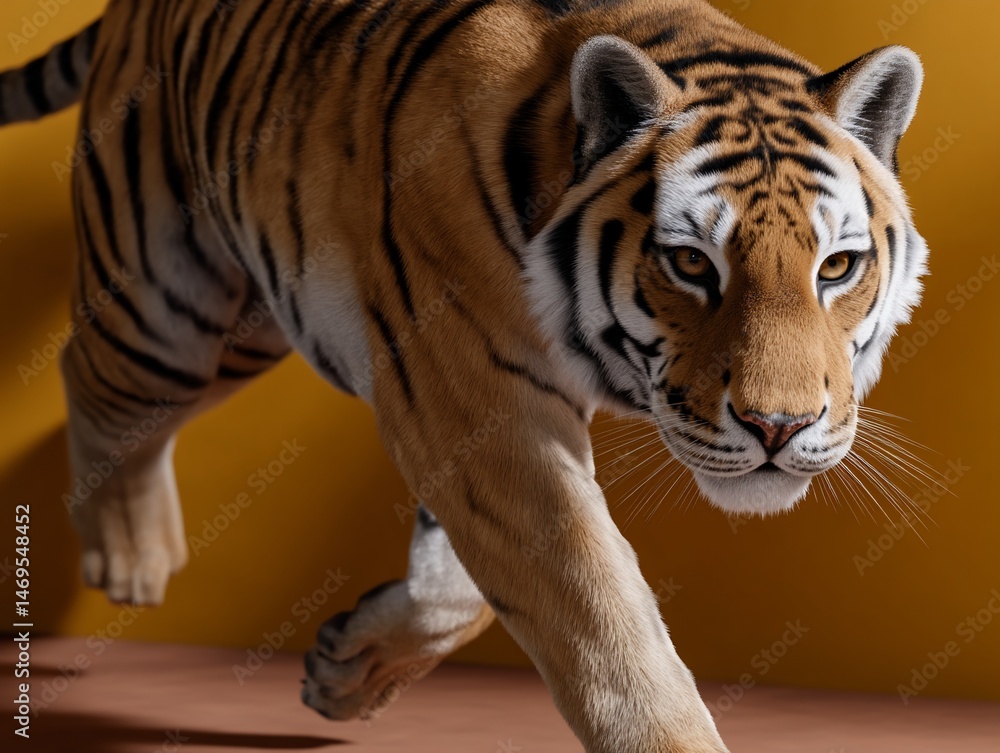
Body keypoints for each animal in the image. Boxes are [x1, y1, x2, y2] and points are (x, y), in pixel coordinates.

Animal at [0, 0, 928, 750]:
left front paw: (349, 669)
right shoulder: (472, 397)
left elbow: (463, 586)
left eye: (837, 267)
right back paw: (131, 557)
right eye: (692, 263)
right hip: (170, 307)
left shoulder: (457, 408)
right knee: (88, 371)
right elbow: (594, 604)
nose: (780, 427)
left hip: (247, 321)